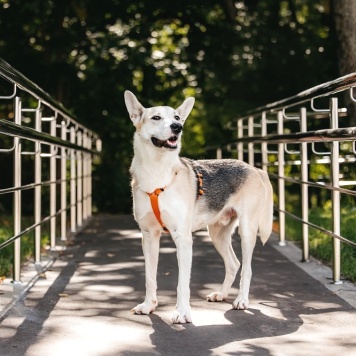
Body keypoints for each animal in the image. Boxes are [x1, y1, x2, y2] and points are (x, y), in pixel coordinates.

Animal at [124, 90, 274, 324]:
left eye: (177, 117)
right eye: (156, 117)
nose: (177, 127)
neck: (157, 172)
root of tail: (253, 168)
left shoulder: (183, 239)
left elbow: (182, 283)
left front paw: (182, 313)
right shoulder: (148, 237)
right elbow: (150, 278)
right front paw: (149, 306)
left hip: (247, 231)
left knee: (247, 268)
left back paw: (241, 300)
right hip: (217, 234)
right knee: (233, 264)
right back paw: (221, 294)